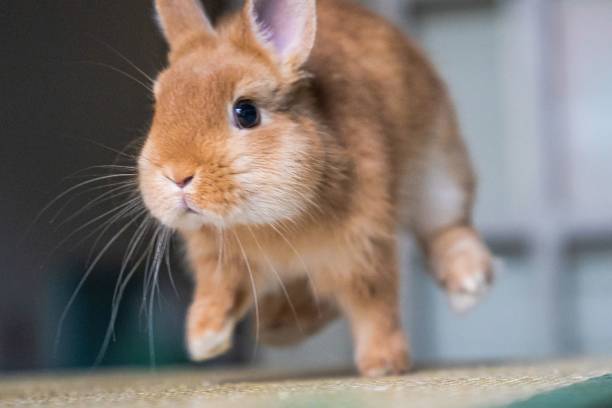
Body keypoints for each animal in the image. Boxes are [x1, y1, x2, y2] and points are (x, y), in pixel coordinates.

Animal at [139, 0, 492, 376]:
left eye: (246, 112)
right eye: (158, 107)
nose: (177, 175)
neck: (265, 222)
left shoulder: (363, 248)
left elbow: (374, 305)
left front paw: (383, 363)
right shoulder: (220, 263)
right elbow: (218, 292)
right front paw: (203, 340)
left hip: (440, 173)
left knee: (448, 230)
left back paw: (468, 284)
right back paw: (278, 327)